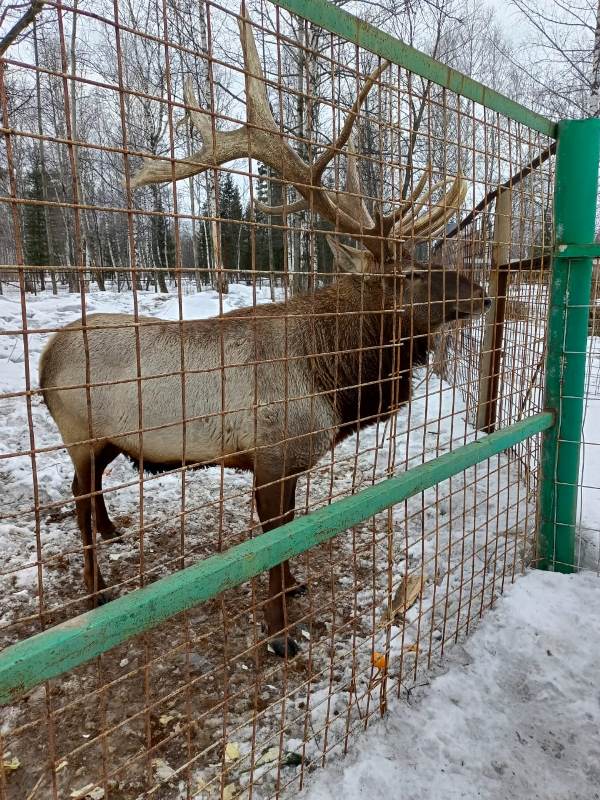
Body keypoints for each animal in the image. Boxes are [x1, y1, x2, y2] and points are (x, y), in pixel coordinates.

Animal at [39, 11, 490, 657]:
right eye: (409, 275)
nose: (480, 291)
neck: (335, 381)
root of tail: (45, 356)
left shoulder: (293, 460)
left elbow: (292, 531)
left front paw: (295, 588)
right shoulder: (271, 455)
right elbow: (274, 537)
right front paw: (278, 633)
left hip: (108, 438)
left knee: (95, 489)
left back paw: (113, 531)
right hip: (77, 430)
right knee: (77, 499)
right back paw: (97, 591)